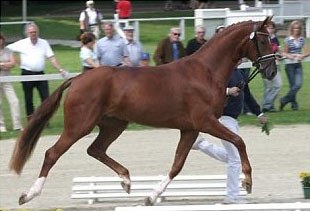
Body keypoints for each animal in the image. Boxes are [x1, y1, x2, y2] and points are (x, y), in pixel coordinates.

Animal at [9, 17, 276, 205]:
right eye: (263, 40)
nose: (272, 71)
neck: (206, 71)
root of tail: (77, 79)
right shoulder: (205, 121)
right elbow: (239, 141)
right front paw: (247, 181)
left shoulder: (190, 129)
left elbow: (177, 165)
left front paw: (151, 196)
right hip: (79, 125)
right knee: (52, 153)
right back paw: (28, 195)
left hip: (114, 124)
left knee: (95, 149)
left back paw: (126, 180)